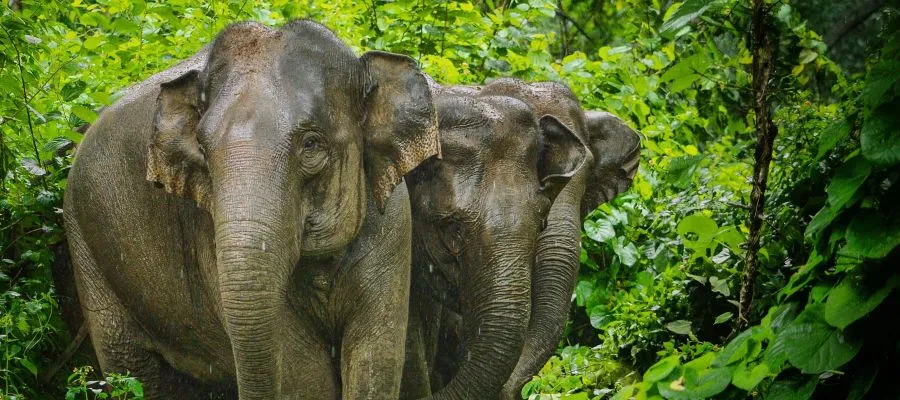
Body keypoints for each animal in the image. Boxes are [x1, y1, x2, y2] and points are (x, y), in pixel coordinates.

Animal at [63, 20, 439, 400]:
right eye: (202, 149)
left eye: (311, 144)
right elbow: (306, 378)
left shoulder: (393, 225)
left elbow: (375, 358)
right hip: (85, 247)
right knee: (131, 367)